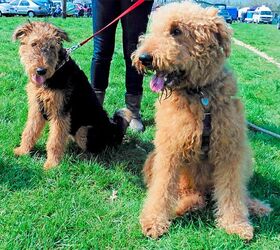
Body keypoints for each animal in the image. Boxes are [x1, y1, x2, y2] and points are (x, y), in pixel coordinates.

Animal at [132, 0, 270, 241]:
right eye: (154, 28)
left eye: (176, 30)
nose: (143, 58)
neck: (200, 94)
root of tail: (201, 191)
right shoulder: (169, 151)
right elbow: (162, 189)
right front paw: (154, 221)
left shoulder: (230, 151)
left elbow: (233, 192)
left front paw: (236, 224)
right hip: (155, 160)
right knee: (187, 195)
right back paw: (186, 205)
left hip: (246, 157)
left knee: (239, 191)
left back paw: (255, 206)